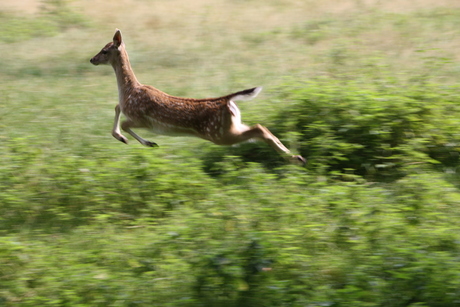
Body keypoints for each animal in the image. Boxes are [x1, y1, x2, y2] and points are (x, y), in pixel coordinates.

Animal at [90, 29, 306, 166]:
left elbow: (124, 122)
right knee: (261, 127)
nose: (92, 59)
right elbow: (117, 106)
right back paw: (296, 157)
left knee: (259, 129)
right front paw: (132, 140)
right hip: (230, 127)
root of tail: (228, 101)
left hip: (219, 134)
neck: (129, 90)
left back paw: (294, 158)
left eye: (105, 50)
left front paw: (137, 141)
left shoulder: (142, 119)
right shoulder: (128, 109)